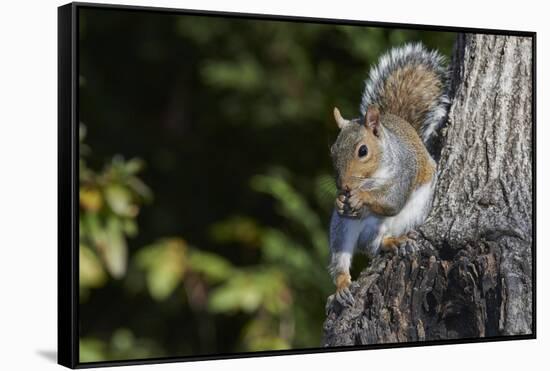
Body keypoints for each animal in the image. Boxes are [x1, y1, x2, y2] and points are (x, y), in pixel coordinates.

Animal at [330, 42, 450, 306]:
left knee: (376, 244)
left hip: (408, 215)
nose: (343, 187)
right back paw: (342, 286)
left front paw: (361, 199)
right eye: (332, 150)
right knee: (345, 257)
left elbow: (392, 200)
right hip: (342, 227)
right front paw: (341, 200)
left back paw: (393, 241)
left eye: (363, 151)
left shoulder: (404, 172)